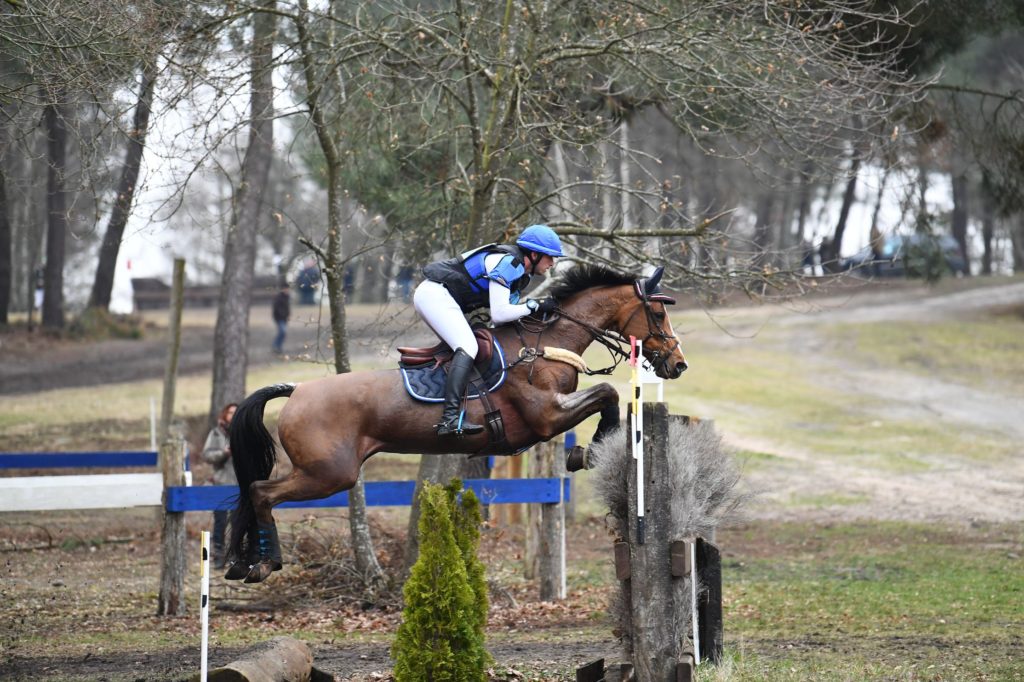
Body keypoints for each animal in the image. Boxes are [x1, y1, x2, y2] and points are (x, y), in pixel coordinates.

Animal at [225, 262, 688, 581]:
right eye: (658, 315)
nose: (678, 365)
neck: (546, 343)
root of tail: (297, 390)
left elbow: (607, 396)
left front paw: (588, 449)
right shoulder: (545, 416)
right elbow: (607, 394)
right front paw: (589, 450)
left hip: (317, 470)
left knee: (252, 493)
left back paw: (242, 563)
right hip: (329, 474)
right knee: (262, 492)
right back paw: (266, 563)